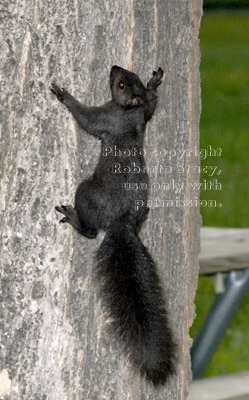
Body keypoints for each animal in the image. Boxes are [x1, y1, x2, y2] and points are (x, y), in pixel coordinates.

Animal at [50, 66, 175, 388]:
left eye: (120, 84)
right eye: (128, 77)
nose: (115, 67)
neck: (128, 111)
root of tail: (122, 222)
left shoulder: (107, 117)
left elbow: (86, 119)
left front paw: (65, 96)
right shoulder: (144, 114)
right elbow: (152, 106)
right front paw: (154, 85)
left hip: (86, 194)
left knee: (92, 231)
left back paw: (75, 219)